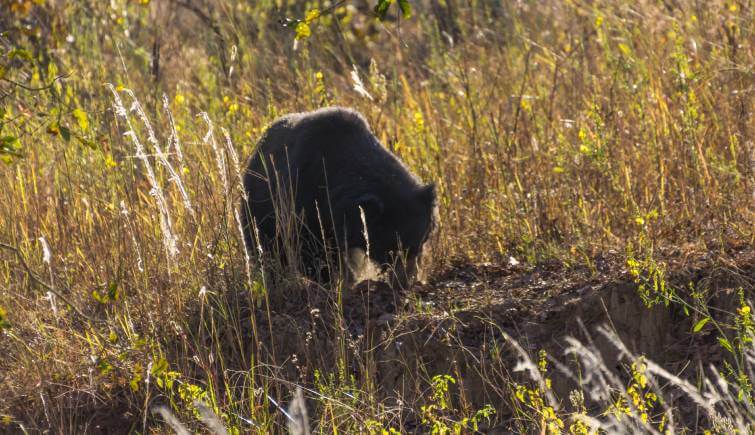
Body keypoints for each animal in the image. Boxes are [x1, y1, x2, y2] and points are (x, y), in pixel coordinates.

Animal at [242, 107, 438, 288]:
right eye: (390, 249)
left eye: (422, 241)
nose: (406, 281)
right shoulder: (302, 195)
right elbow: (307, 244)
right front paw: (340, 279)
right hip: (258, 210)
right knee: (268, 250)